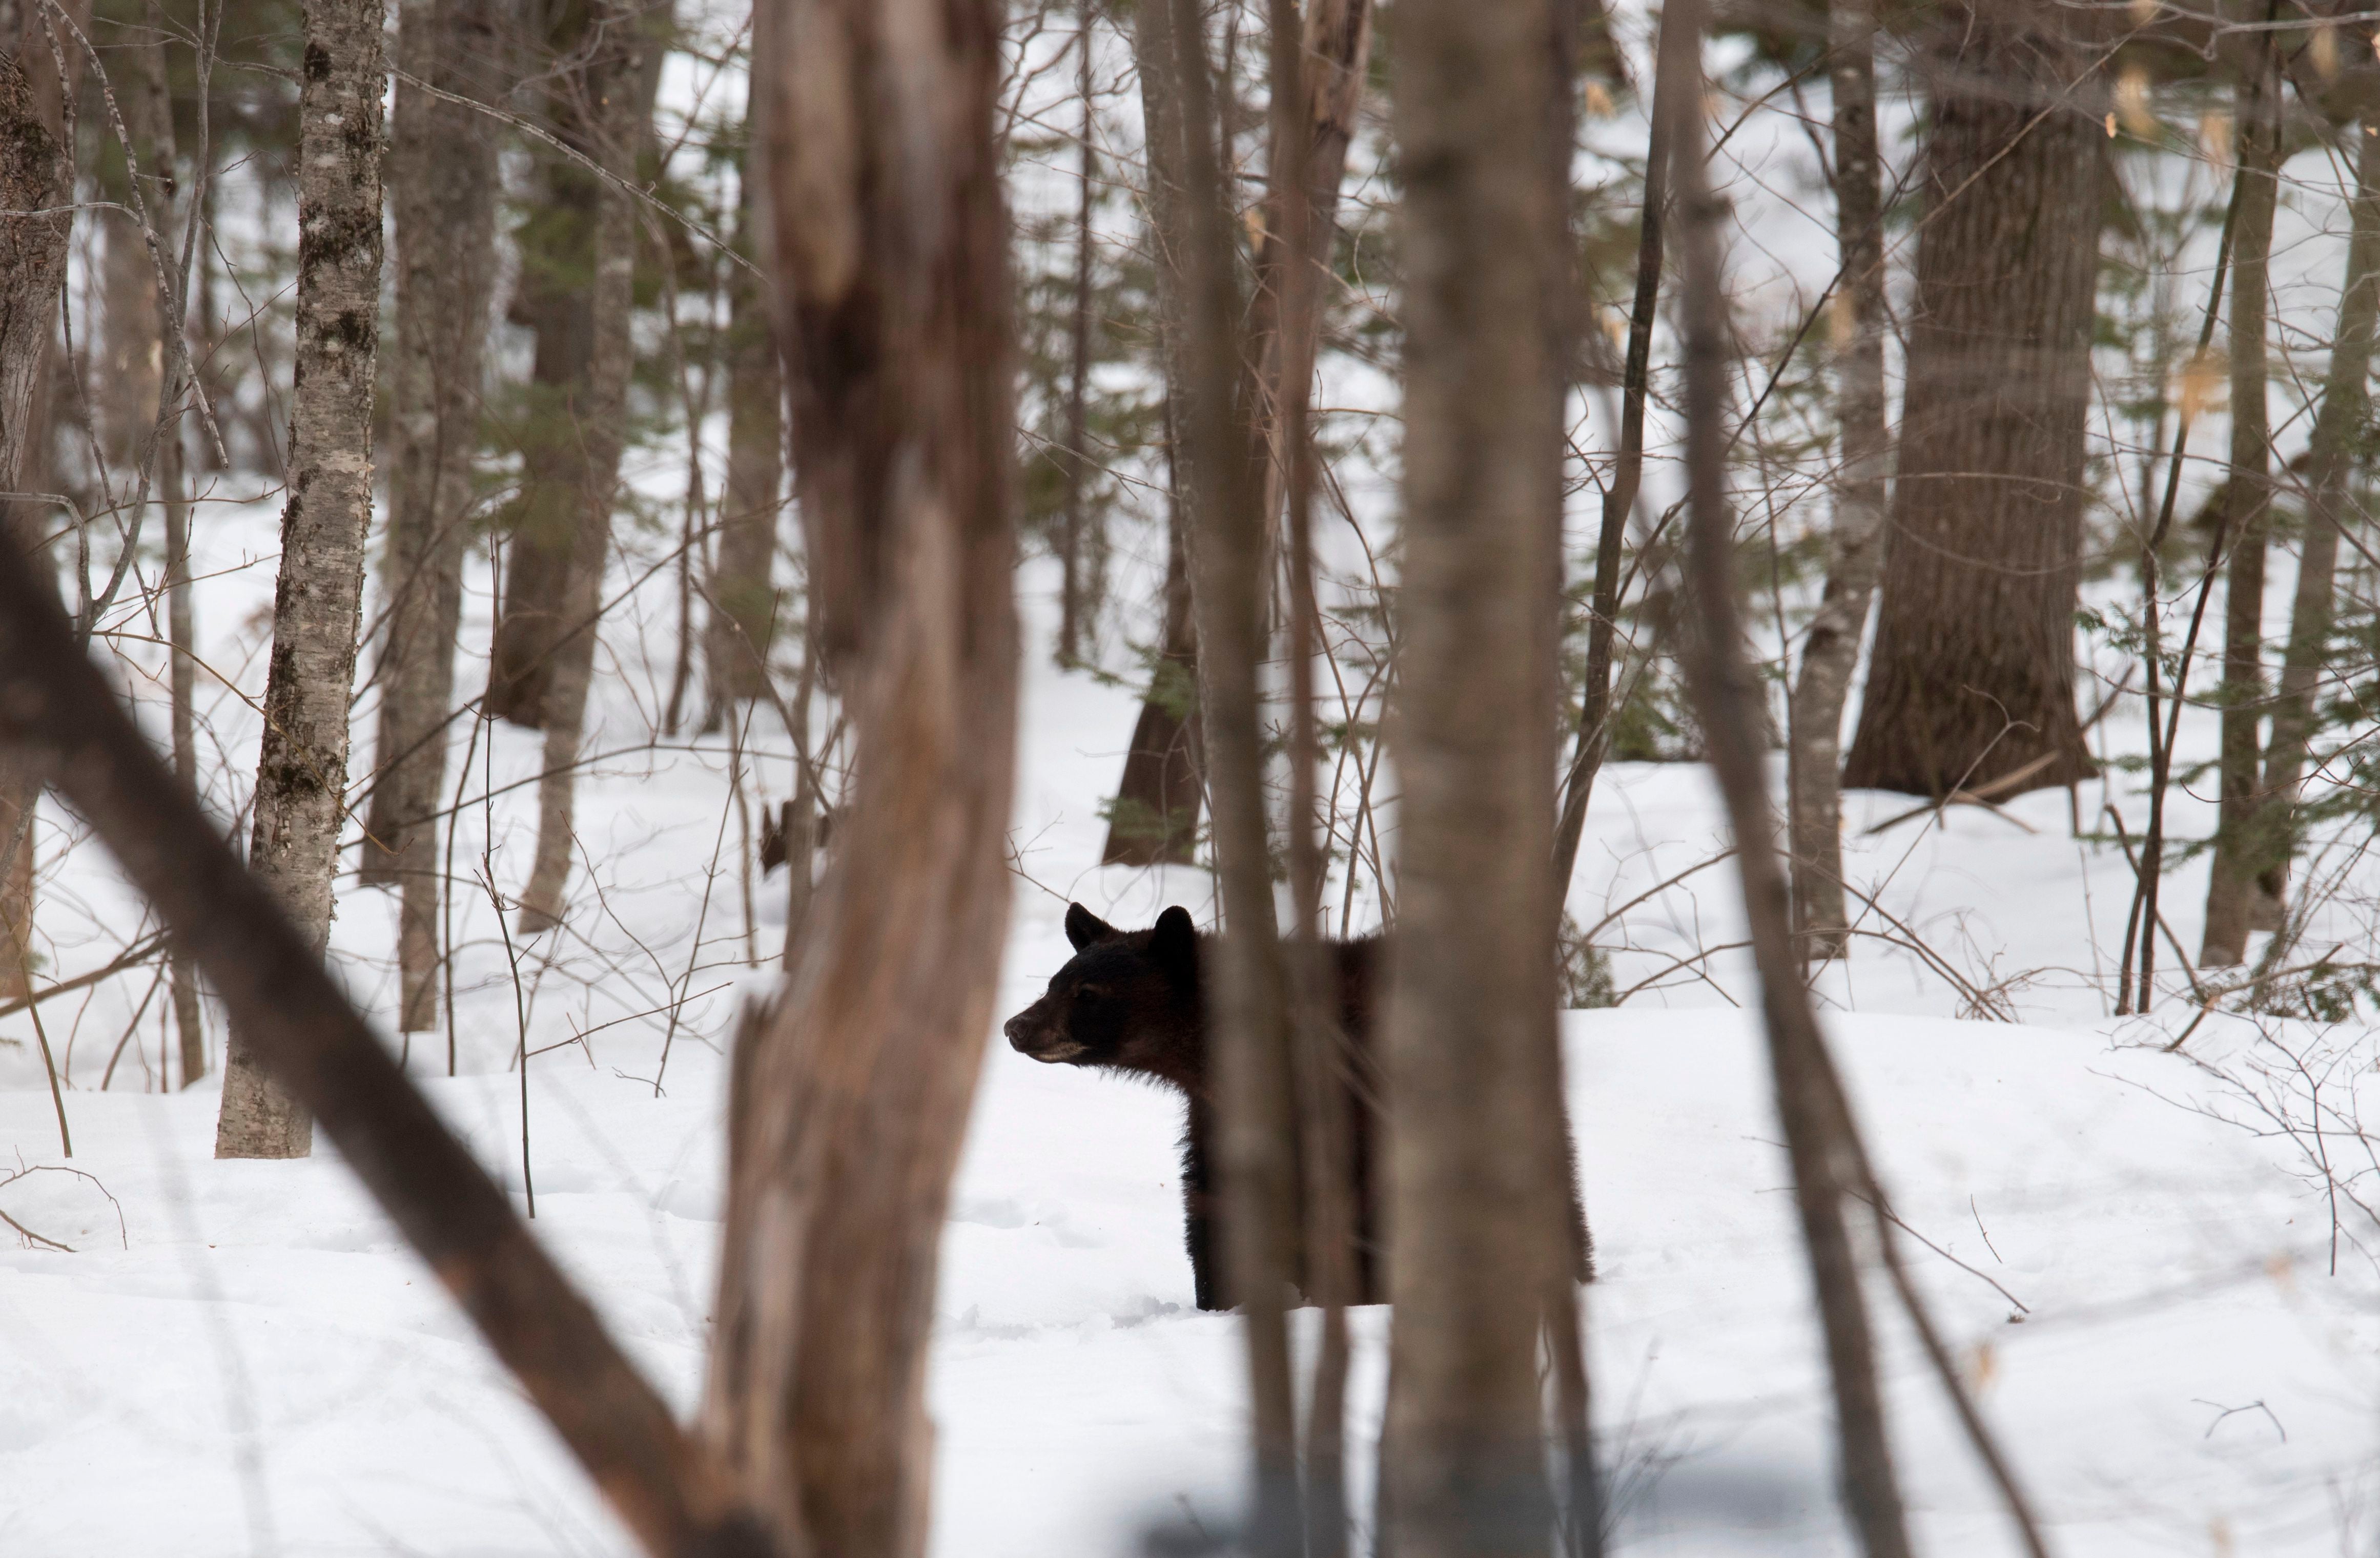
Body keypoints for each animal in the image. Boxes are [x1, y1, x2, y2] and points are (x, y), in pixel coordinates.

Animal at [1004, 904, 1599, 1313]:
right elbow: (1216, 1203)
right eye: (1056, 981)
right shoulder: (1220, 1115)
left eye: (1087, 992)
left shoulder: (1356, 1103)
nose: (1016, 1026)